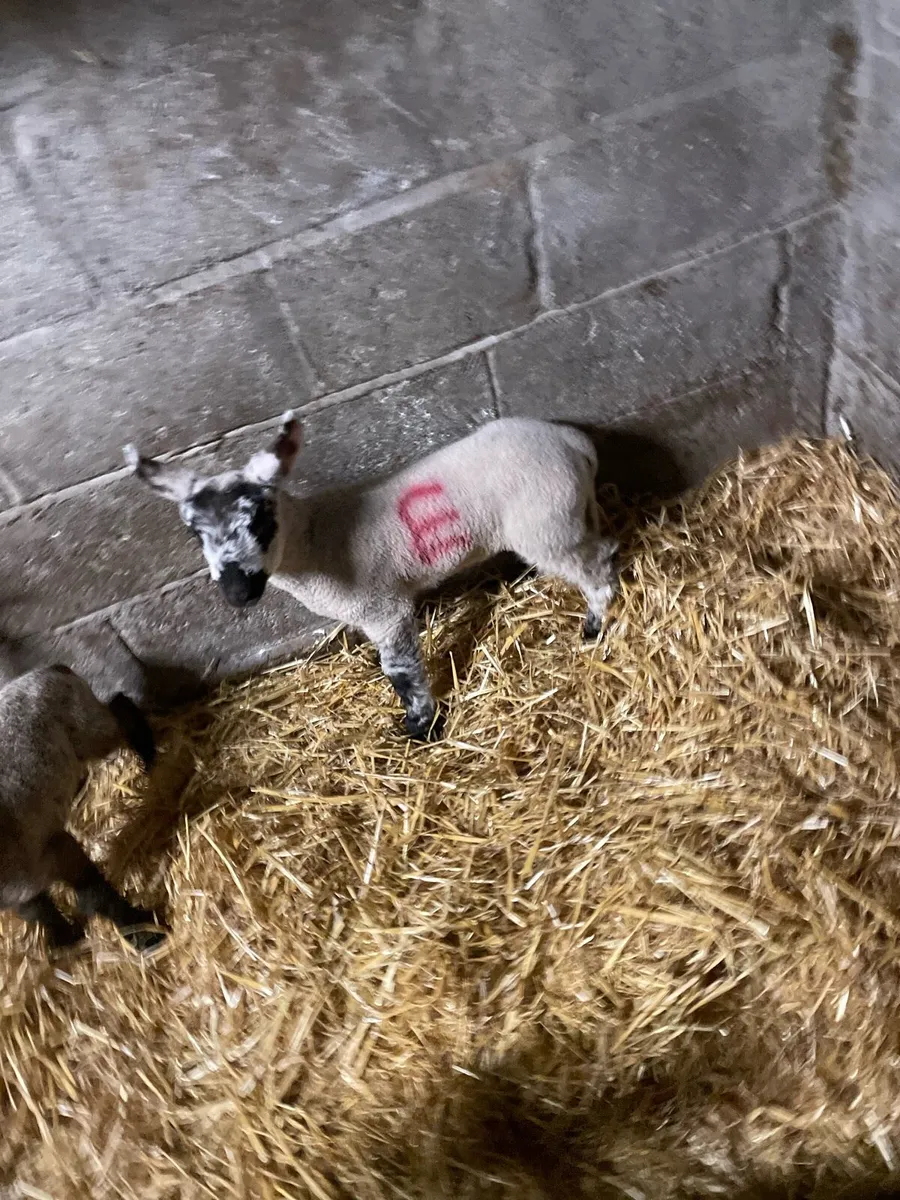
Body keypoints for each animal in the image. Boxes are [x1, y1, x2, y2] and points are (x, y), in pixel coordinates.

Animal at [0, 663, 165, 953]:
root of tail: (51, 668)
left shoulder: (55, 849)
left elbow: (94, 894)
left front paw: (144, 932)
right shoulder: (19, 893)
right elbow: (38, 911)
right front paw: (65, 937)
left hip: (89, 730)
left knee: (119, 708)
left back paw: (148, 754)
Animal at [125, 414, 618, 740]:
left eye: (261, 518)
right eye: (194, 531)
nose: (238, 591)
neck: (317, 540)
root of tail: (574, 443)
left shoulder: (383, 608)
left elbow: (399, 670)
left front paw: (420, 726)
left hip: (546, 525)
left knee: (595, 567)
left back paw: (595, 626)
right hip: (570, 515)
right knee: (605, 548)